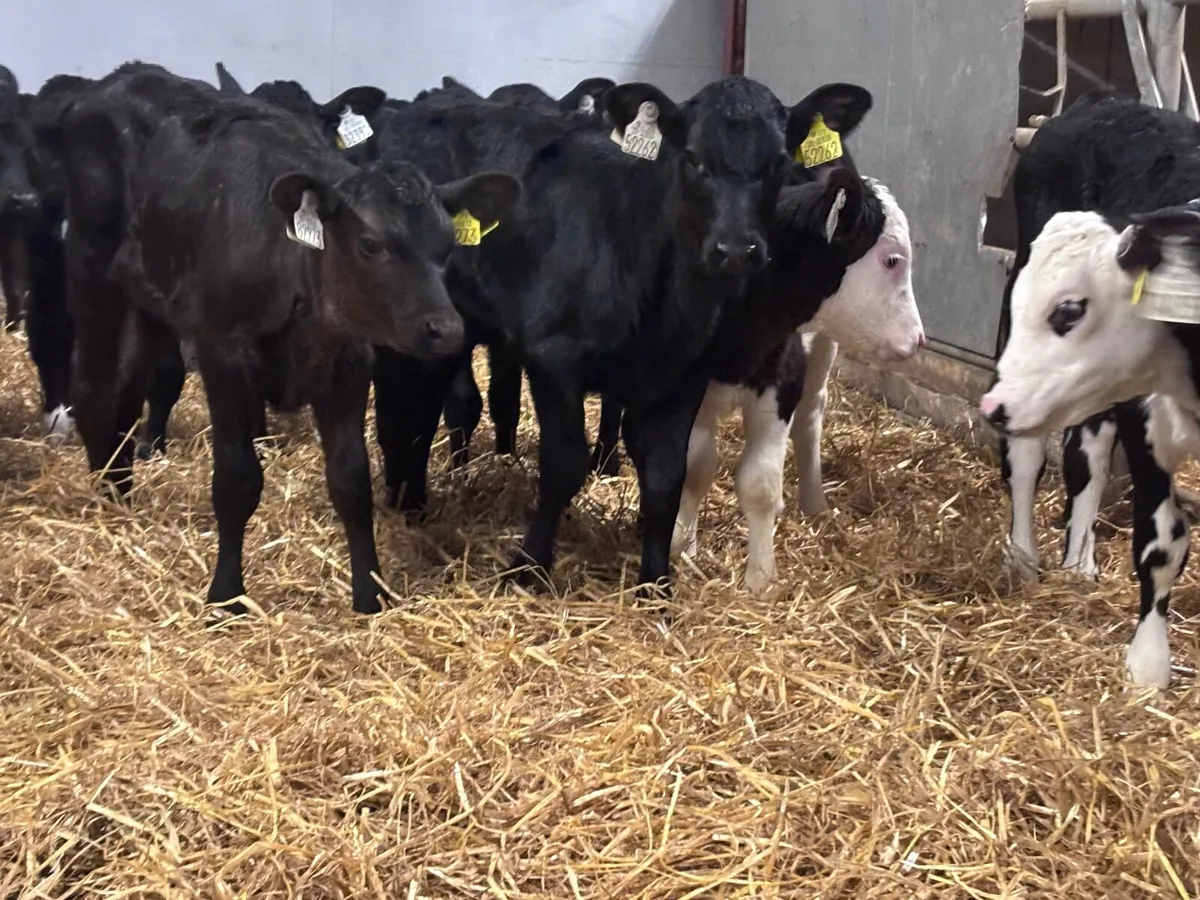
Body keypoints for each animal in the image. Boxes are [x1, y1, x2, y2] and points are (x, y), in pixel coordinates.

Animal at [51, 64, 520, 615]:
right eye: (370, 244)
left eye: (447, 246)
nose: (445, 328)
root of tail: (123, 76)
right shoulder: (223, 353)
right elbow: (237, 478)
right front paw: (226, 597)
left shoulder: (348, 363)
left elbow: (351, 479)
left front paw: (370, 594)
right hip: (90, 265)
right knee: (93, 388)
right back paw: (104, 497)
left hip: (149, 295)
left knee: (126, 393)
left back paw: (120, 490)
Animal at [370, 75, 872, 597]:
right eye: (693, 158)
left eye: (777, 164)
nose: (736, 250)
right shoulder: (554, 359)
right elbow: (564, 463)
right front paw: (529, 565)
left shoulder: (680, 378)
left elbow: (667, 475)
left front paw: (656, 584)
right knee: (405, 410)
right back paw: (407, 500)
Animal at [672, 173, 924, 592]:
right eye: (892, 260)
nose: (919, 339)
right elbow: (695, 468)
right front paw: (682, 545)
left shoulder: (784, 379)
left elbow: (759, 483)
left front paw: (760, 579)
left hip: (822, 349)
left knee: (810, 417)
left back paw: (814, 502)